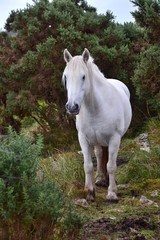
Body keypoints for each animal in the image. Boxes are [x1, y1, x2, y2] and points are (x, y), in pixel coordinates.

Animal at [62, 47, 131, 202]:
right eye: (66, 77)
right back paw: (100, 179)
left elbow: (111, 165)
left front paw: (112, 193)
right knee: (99, 154)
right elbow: (88, 165)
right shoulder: (83, 138)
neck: (96, 108)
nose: (72, 107)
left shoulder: (114, 139)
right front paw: (90, 192)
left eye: (83, 77)